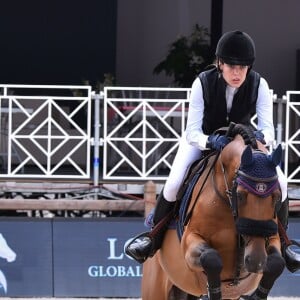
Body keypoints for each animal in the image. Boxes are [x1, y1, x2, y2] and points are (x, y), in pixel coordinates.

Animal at [142, 124, 284, 300]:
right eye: (240, 195)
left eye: (277, 197)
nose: (256, 261)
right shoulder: (190, 241)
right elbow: (211, 259)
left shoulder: (272, 236)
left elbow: (277, 263)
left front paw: (257, 295)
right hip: (155, 288)